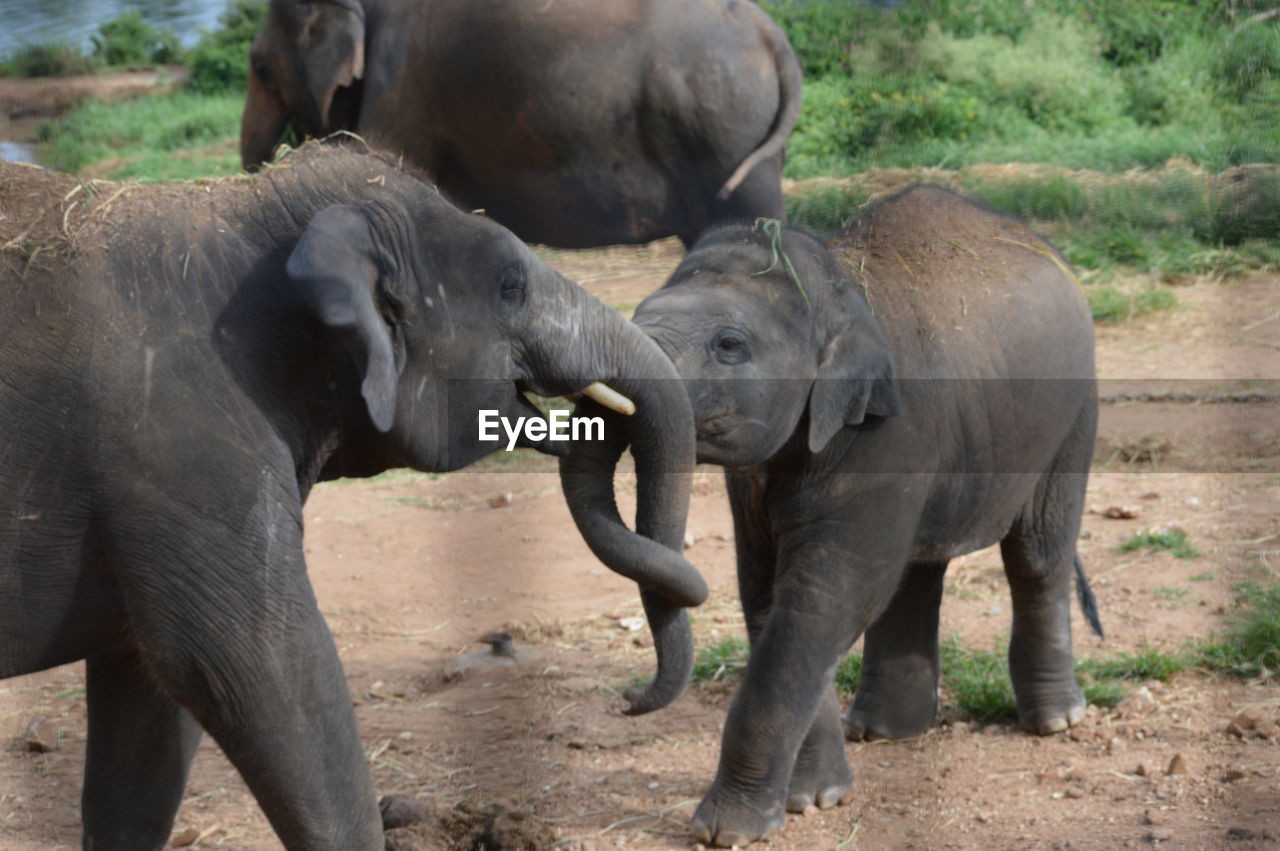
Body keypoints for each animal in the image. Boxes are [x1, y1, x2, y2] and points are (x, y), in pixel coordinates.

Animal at [0, 142, 701, 844]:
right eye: (510, 286)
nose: (631, 699)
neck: (241, 210)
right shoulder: (186, 450)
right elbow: (249, 667)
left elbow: (146, 696)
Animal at [563, 189, 1111, 844]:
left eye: (729, 345)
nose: (628, 697)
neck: (836, 287)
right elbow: (767, 596)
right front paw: (811, 799)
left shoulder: (887, 434)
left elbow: (822, 600)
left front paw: (728, 830)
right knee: (916, 571)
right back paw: (883, 732)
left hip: (1074, 412)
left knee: (1036, 552)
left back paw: (1055, 721)